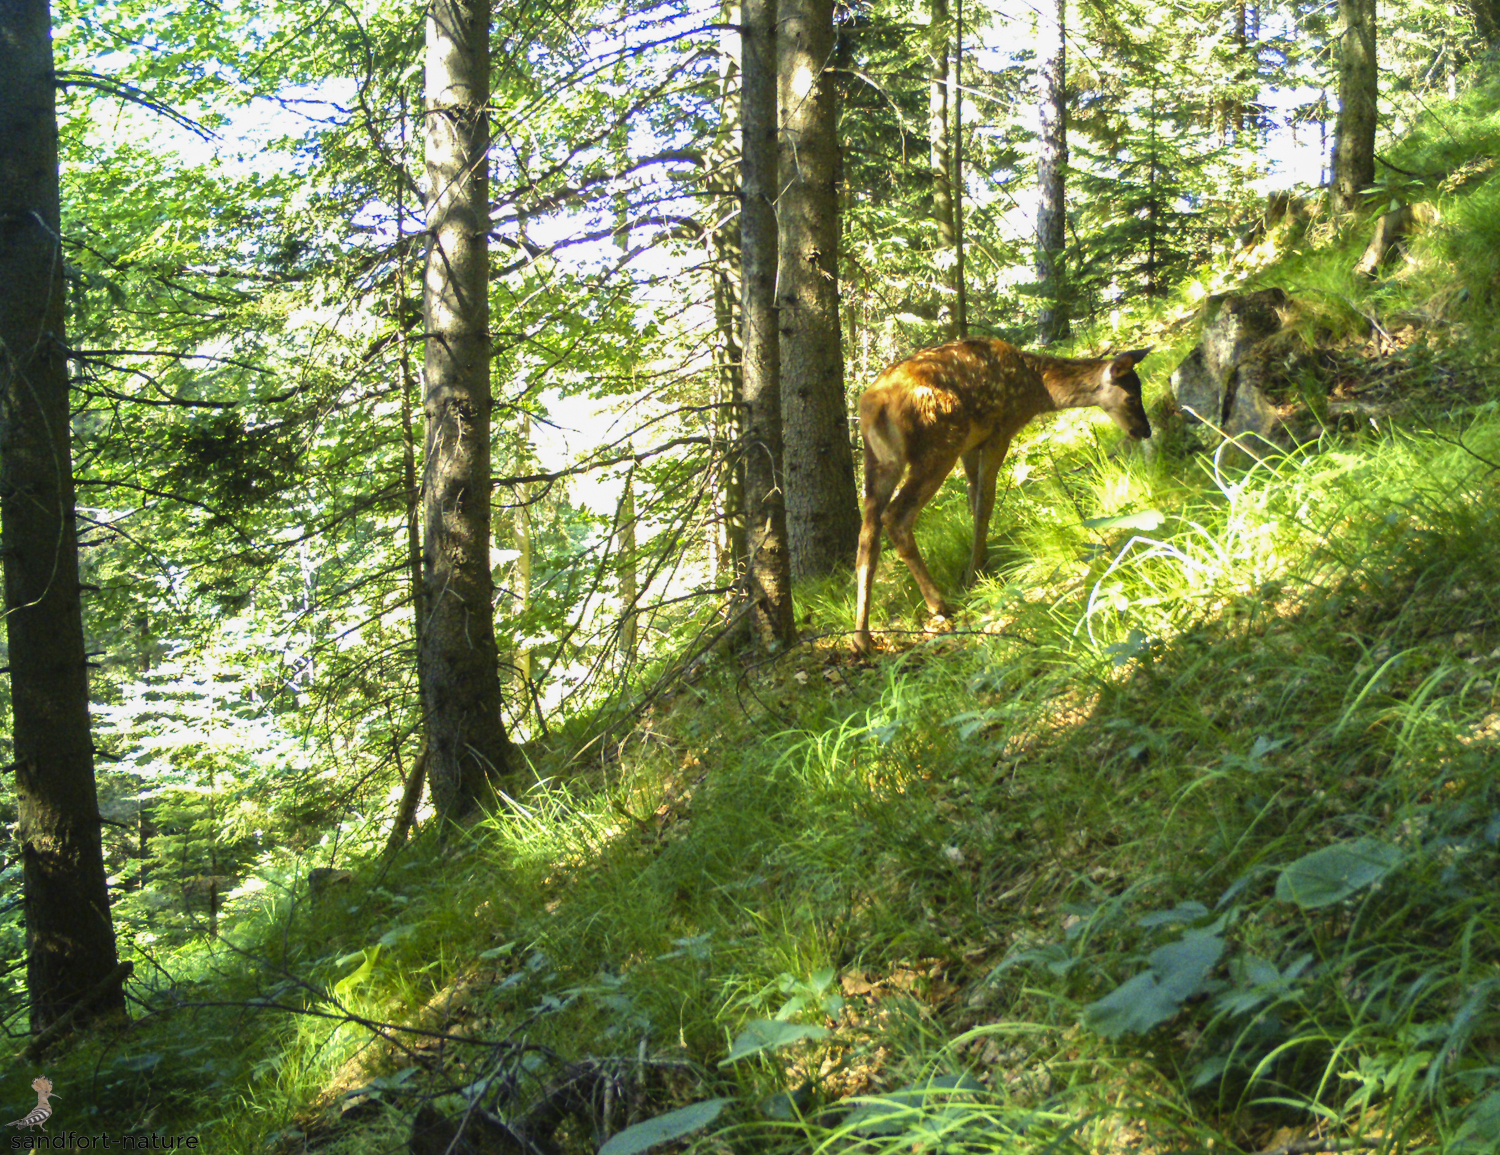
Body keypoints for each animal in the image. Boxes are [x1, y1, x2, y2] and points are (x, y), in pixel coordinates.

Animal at [852, 337, 1152, 654]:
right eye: (1131, 398)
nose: (1144, 430)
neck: (1035, 387)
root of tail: (873, 407)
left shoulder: (972, 445)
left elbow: (974, 498)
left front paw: (980, 562)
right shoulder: (1000, 429)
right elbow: (985, 501)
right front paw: (974, 574)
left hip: (881, 461)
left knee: (868, 533)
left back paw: (862, 637)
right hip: (939, 443)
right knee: (895, 516)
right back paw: (938, 604)